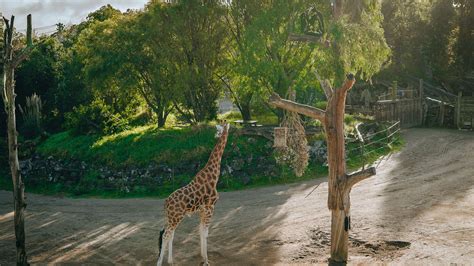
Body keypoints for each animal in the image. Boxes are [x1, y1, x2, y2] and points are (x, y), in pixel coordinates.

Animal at [157, 121, 231, 266]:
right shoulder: (210, 208)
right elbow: (205, 233)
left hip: (171, 218)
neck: (214, 175)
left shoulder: (202, 210)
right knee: (166, 235)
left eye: (218, 129)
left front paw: (203, 257)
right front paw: (206, 261)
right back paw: (159, 263)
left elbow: (201, 231)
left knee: (170, 234)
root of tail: (165, 203)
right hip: (176, 217)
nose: (216, 135)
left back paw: (170, 260)